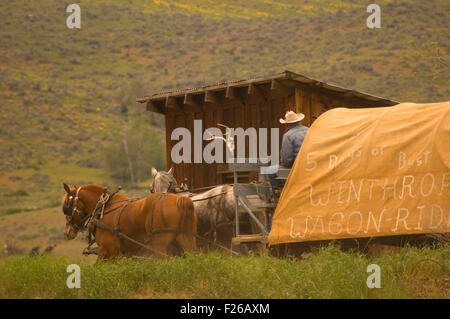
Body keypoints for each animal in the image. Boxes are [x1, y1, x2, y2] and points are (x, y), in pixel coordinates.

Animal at [62, 184, 196, 262]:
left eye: (66, 206)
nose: (67, 232)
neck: (103, 208)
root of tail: (180, 199)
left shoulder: (106, 251)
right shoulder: (122, 255)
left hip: (159, 244)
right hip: (185, 237)